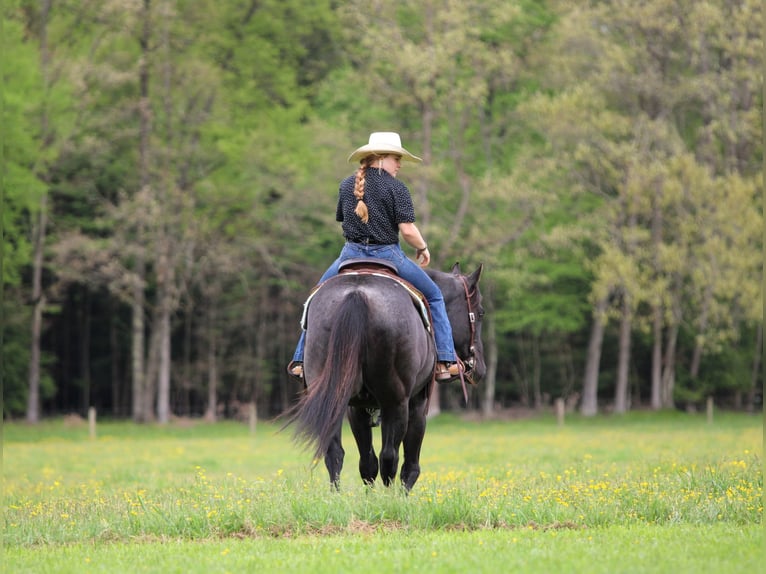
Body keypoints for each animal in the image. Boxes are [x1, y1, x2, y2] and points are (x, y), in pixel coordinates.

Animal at [283, 261, 485, 491]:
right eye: (480, 313)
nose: (480, 369)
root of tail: (357, 294)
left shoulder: (356, 408)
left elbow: (367, 463)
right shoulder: (417, 404)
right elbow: (409, 465)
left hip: (335, 397)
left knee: (335, 452)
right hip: (395, 402)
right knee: (390, 456)